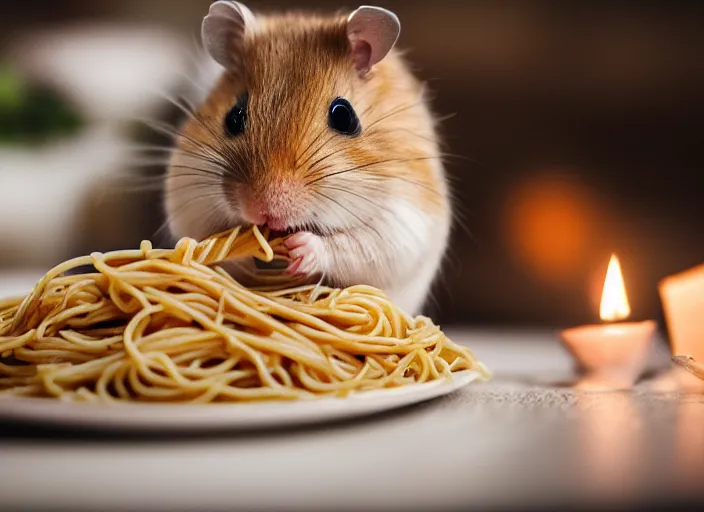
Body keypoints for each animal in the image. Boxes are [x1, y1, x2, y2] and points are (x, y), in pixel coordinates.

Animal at [165, 2, 452, 316]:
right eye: (233, 117)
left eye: (344, 116)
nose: (264, 213)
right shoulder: (187, 200)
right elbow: (204, 239)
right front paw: (241, 252)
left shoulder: (402, 223)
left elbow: (352, 247)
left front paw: (300, 249)